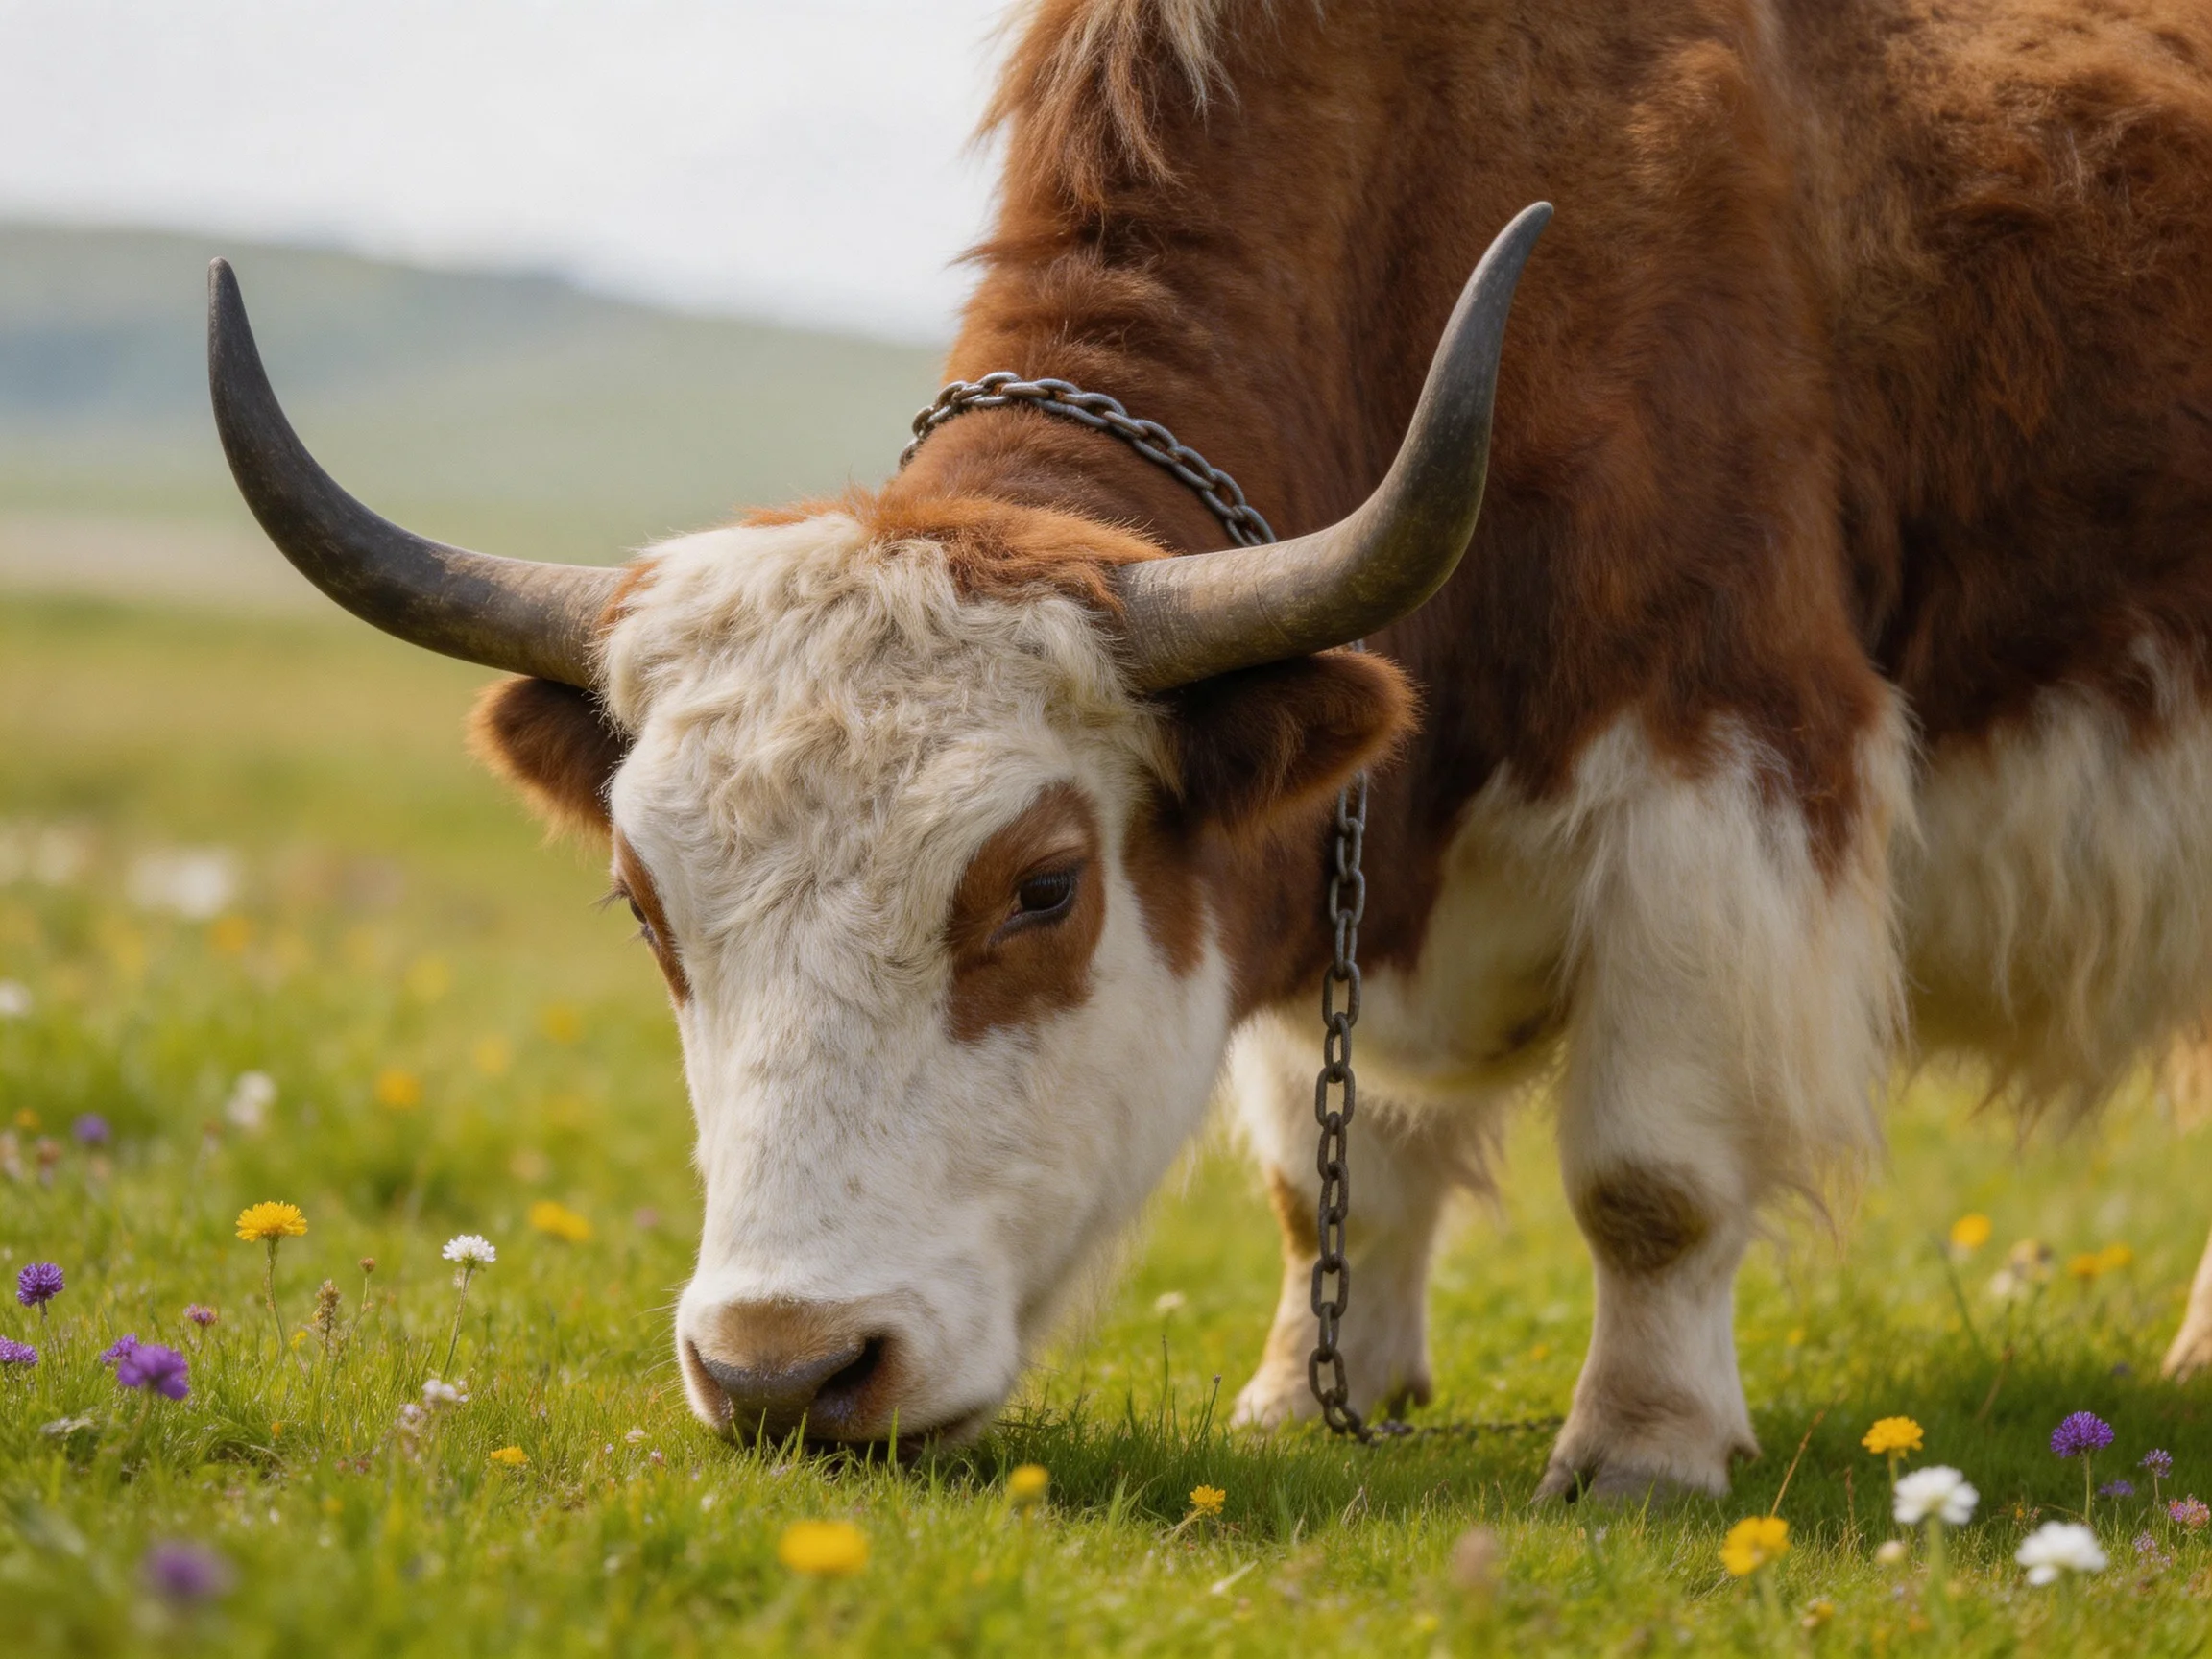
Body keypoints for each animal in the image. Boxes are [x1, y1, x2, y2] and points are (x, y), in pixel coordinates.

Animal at [204, 0, 2212, 1499]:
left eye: (1038, 886)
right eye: (642, 901)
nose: (784, 1371)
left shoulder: (1718, 749)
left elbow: (1647, 1171)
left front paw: (1636, 1448)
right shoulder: (1324, 857)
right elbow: (1331, 1164)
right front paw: (1307, 1394)